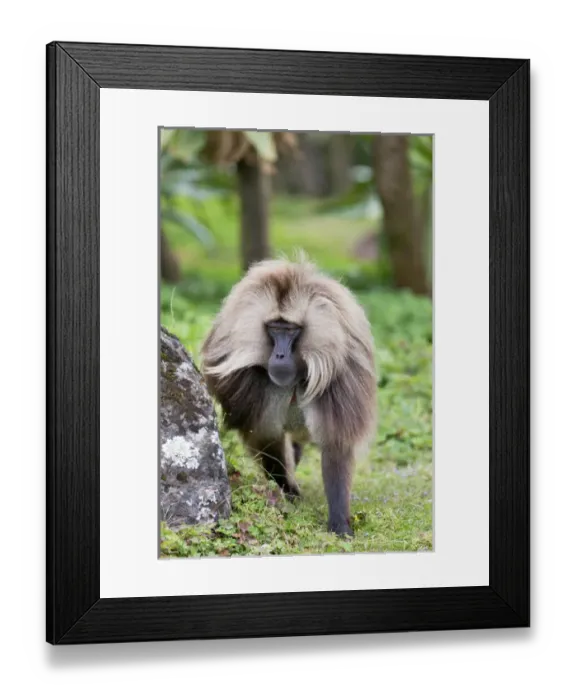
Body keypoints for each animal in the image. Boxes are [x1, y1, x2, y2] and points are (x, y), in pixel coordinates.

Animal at [200, 256, 377, 537]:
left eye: (291, 330)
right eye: (274, 328)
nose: (280, 355)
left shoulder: (341, 378)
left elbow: (336, 445)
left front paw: (339, 522)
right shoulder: (257, 386)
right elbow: (266, 436)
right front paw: (287, 493)